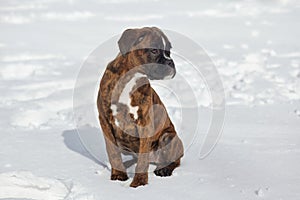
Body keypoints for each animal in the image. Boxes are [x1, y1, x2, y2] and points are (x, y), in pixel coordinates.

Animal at [97, 26, 184, 188]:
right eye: (154, 50)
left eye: (169, 50)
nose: (170, 62)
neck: (131, 77)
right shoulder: (105, 119)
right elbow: (112, 152)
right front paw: (118, 174)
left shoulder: (145, 122)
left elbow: (142, 160)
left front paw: (139, 182)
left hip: (168, 137)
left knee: (175, 160)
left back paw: (164, 169)